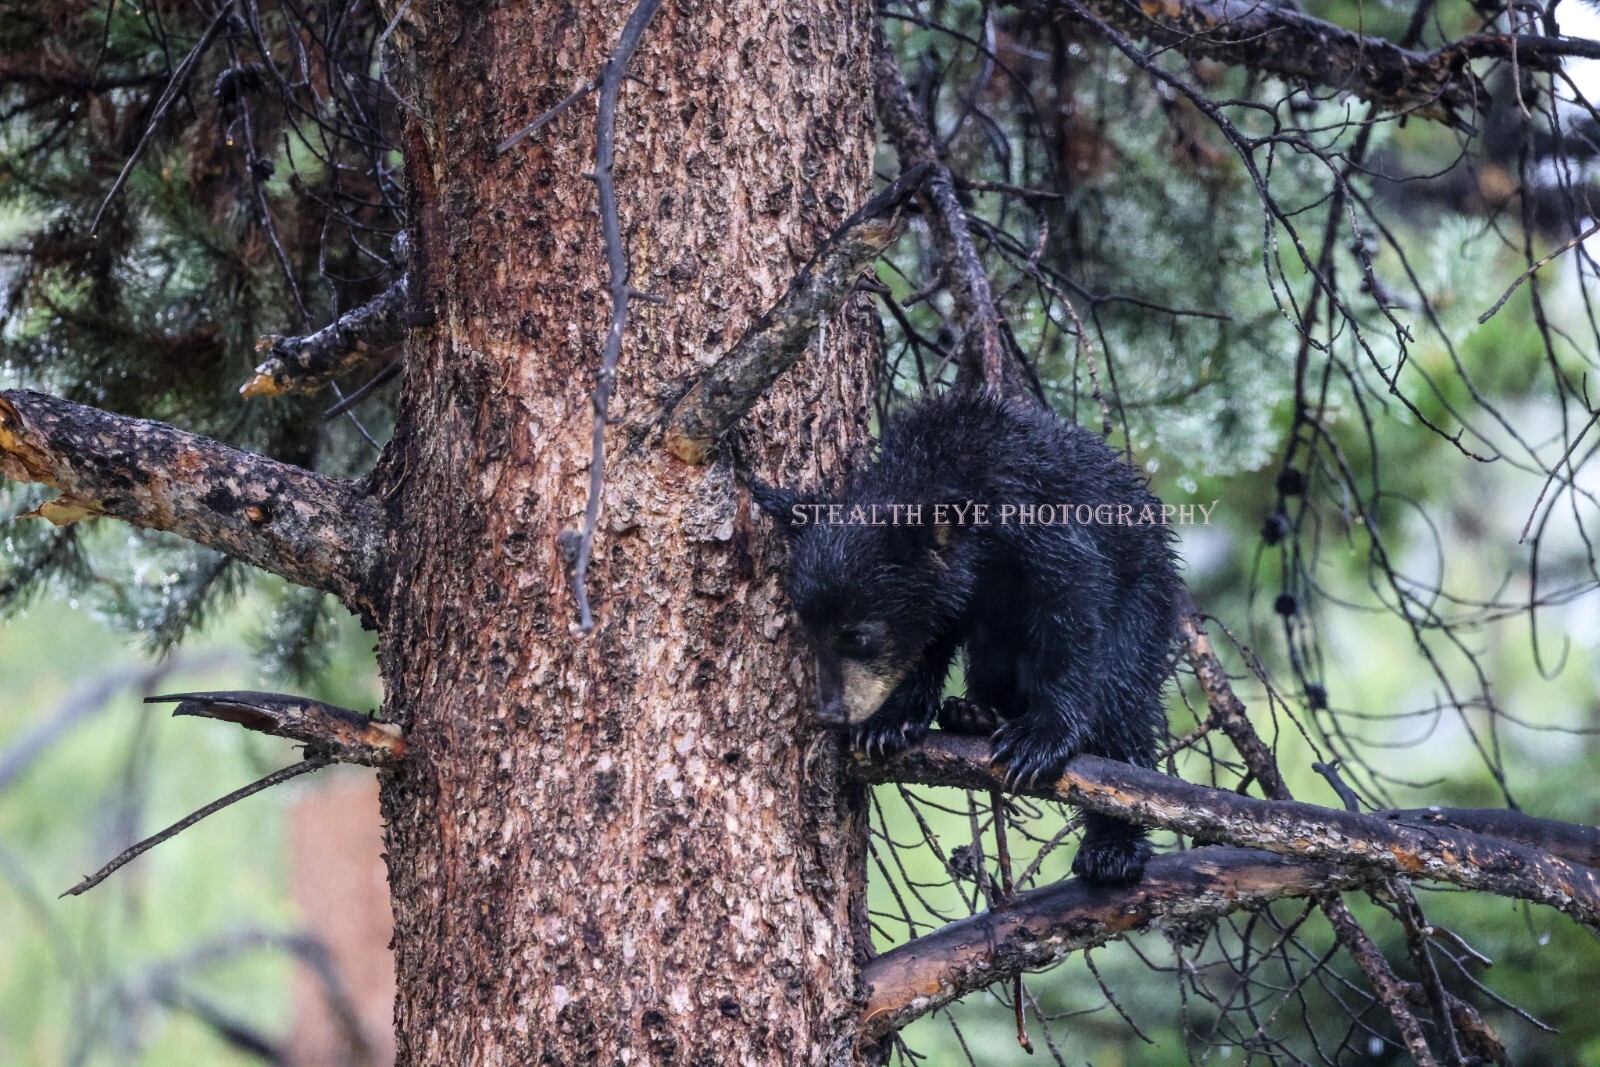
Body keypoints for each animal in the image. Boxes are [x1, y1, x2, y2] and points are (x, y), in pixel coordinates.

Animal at [751, 390, 1183, 885]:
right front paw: (890, 722)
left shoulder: (1047, 531)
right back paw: (973, 713)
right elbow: (927, 642)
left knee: (1121, 703)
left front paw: (1038, 740)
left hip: (1145, 600)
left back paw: (1111, 848)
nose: (828, 712)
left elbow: (1069, 617)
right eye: (810, 632)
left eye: (856, 635)